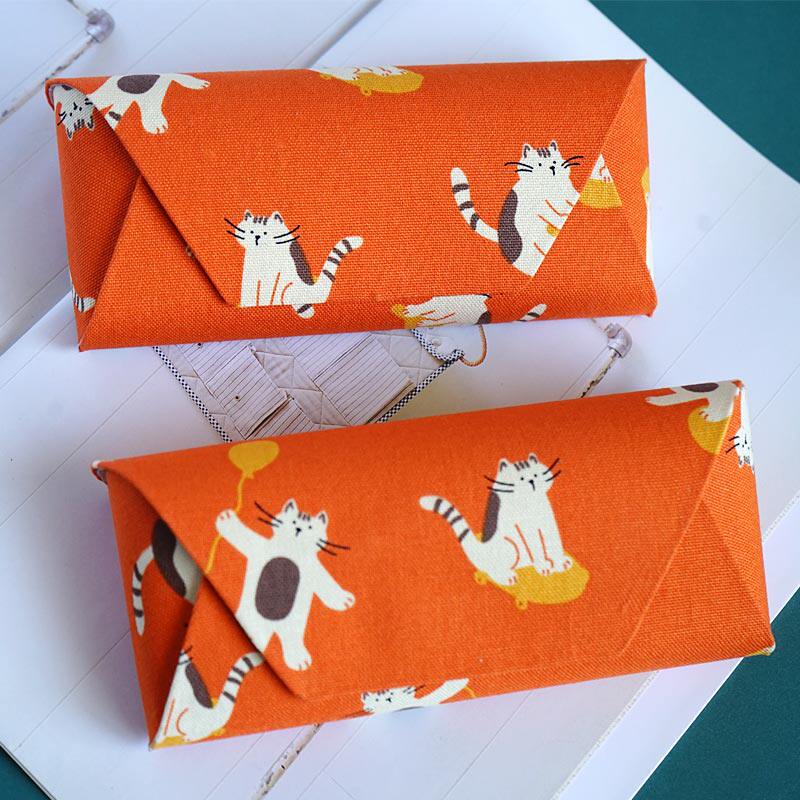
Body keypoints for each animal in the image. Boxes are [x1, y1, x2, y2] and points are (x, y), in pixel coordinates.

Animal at [215, 500, 355, 671]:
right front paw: (227, 518)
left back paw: (298, 658)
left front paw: (344, 599)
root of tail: (273, 628)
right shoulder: (259, 547)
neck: (291, 549)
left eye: (310, 527)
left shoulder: (314, 569)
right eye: (293, 521)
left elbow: (325, 583)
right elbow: (244, 537)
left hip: (292, 629)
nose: (298, 528)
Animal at [420, 454, 570, 587]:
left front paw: (560, 562)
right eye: (521, 478)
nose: (531, 481)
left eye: (535, 475)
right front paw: (543, 566)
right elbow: (534, 546)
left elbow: (553, 540)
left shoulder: (547, 519)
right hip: (509, 545)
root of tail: (483, 548)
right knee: (493, 570)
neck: (530, 502)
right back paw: (506, 576)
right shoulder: (525, 527)